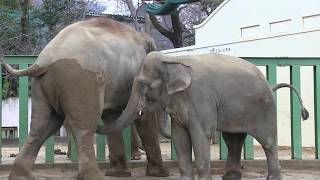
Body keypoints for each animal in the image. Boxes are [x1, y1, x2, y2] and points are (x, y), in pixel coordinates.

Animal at [0, 18, 168, 180]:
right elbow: (143, 119)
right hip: (82, 81)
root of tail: (43, 61)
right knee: (84, 128)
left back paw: (21, 176)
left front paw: (119, 174)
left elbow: (111, 117)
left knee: (42, 126)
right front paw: (159, 174)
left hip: (42, 86)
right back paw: (94, 176)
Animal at [98, 51, 310, 180]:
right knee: (233, 140)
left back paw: (271, 177)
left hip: (264, 108)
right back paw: (230, 177)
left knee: (267, 141)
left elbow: (201, 135)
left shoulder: (200, 99)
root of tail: (268, 84)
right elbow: (180, 137)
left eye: (146, 85)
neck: (173, 59)